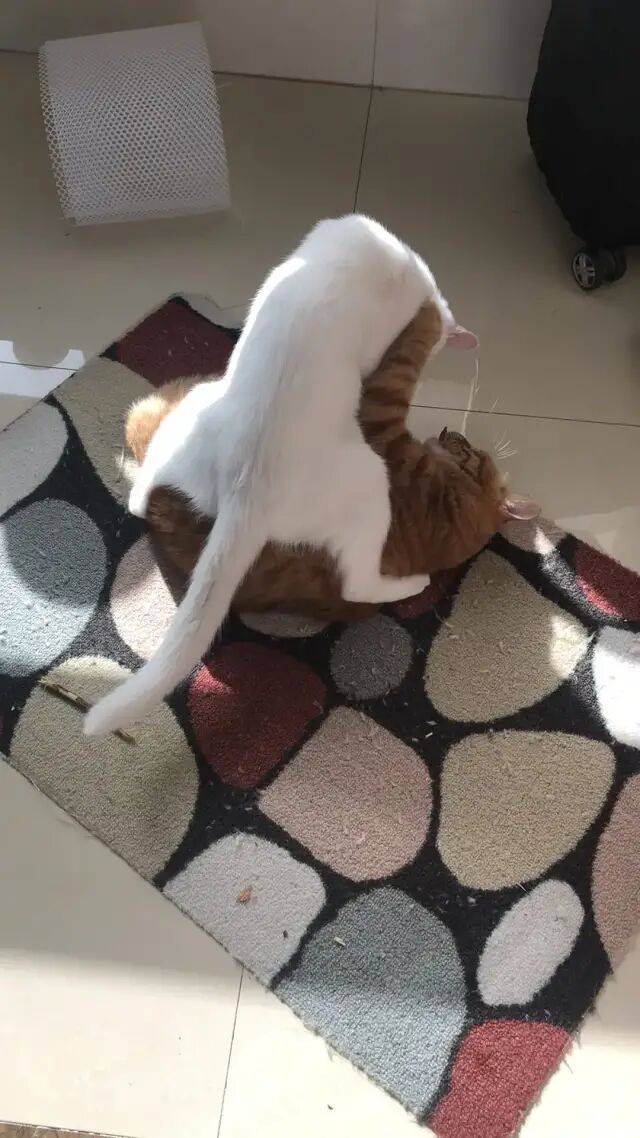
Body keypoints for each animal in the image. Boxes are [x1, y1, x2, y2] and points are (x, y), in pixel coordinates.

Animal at [84, 215, 476, 735]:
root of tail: (248, 488)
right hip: (371, 482)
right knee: (357, 582)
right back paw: (411, 585)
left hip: (196, 410)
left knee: (140, 492)